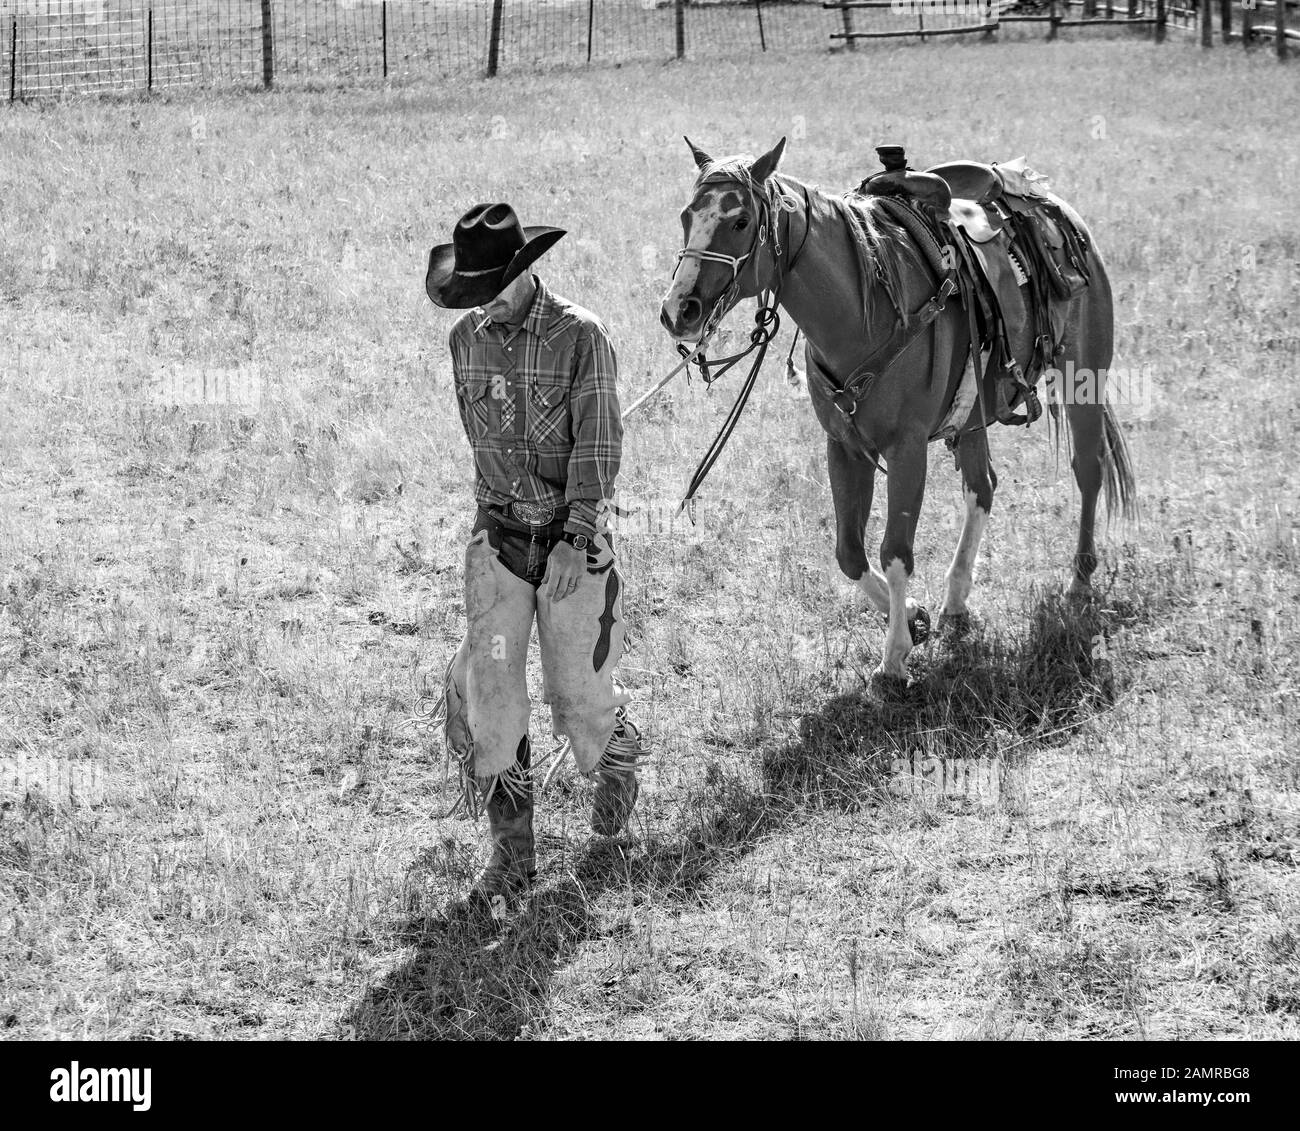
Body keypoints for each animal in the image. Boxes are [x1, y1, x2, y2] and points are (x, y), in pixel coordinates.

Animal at [660, 138, 1138, 696]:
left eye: (739, 222)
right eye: (687, 216)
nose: (678, 310)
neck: (863, 314)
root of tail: (1053, 204)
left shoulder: (906, 451)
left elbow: (894, 551)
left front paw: (893, 659)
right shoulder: (843, 445)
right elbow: (849, 552)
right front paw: (911, 614)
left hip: (1085, 377)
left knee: (1088, 471)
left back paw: (1079, 581)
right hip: (973, 416)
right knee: (983, 486)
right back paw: (956, 600)